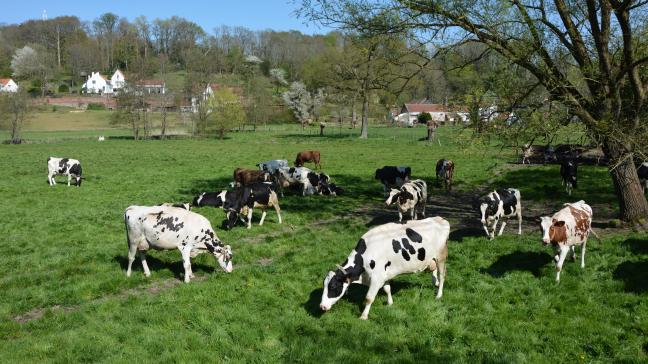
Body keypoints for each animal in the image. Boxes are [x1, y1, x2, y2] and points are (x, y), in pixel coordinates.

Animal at [320, 216, 450, 318]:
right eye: (324, 285)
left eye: (333, 286)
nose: (322, 306)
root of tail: (440, 219)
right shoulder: (384, 274)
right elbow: (387, 289)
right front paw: (390, 303)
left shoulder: (376, 278)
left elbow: (369, 298)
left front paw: (363, 316)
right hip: (431, 258)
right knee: (434, 270)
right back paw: (435, 283)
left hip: (441, 257)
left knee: (442, 275)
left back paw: (439, 294)